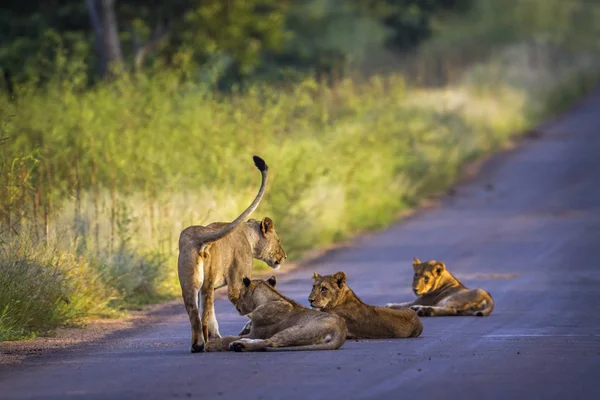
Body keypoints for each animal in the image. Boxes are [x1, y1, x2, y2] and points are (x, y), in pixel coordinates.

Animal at [177, 156, 288, 354]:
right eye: (279, 240)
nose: (285, 257)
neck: (247, 235)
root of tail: (200, 237)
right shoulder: (239, 281)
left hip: (189, 282)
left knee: (195, 313)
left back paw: (198, 345)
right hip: (214, 282)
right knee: (206, 313)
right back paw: (206, 344)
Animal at [204, 276, 346, 352]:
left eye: (239, 294)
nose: (236, 304)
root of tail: (340, 330)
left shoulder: (256, 333)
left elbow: (228, 338)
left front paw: (211, 345)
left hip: (294, 330)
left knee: (270, 342)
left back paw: (239, 345)